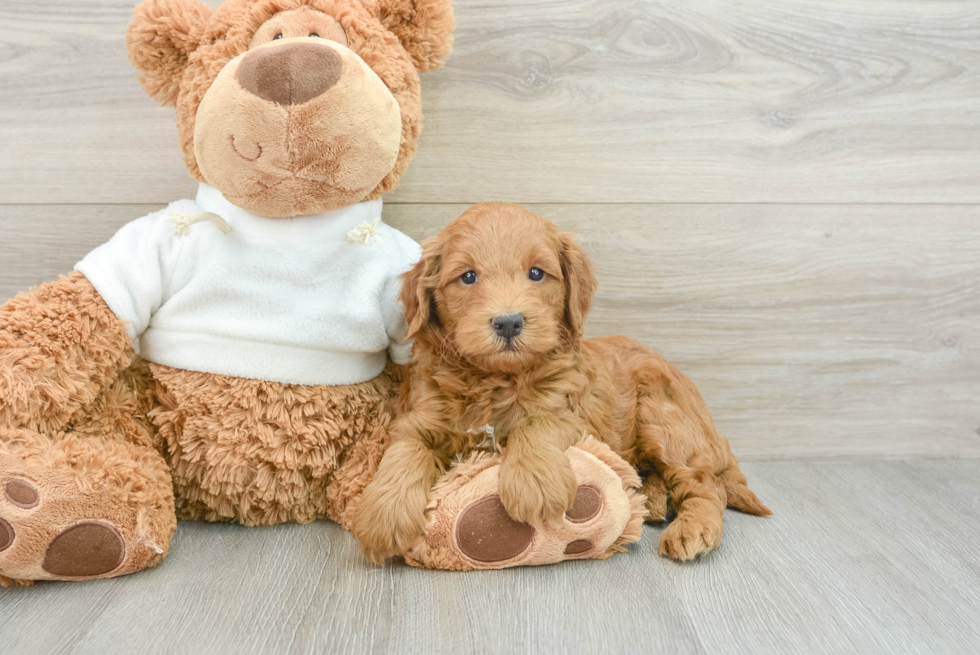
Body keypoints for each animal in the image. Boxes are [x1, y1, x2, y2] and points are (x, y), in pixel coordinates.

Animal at [354, 202, 772, 560]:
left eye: (537, 273)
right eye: (468, 277)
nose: (508, 322)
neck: (497, 379)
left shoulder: (576, 413)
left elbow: (539, 421)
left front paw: (534, 483)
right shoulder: (419, 418)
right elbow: (405, 450)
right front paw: (384, 515)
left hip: (664, 419)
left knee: (704, 484)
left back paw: (693, 529)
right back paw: (652, 500)